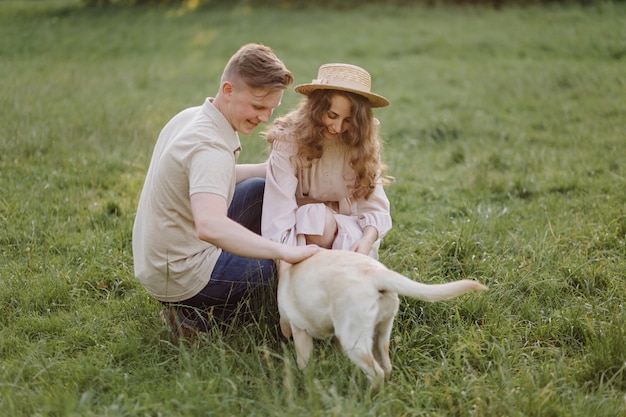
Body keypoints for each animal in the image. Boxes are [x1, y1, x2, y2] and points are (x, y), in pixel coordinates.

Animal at [278, 249, 488, 382]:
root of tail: (375, 273)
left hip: (354, 341)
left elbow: (303, 361)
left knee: (376, 372)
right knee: (386, 366)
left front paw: (305, 379)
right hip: (382, 330)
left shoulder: (300, 330)